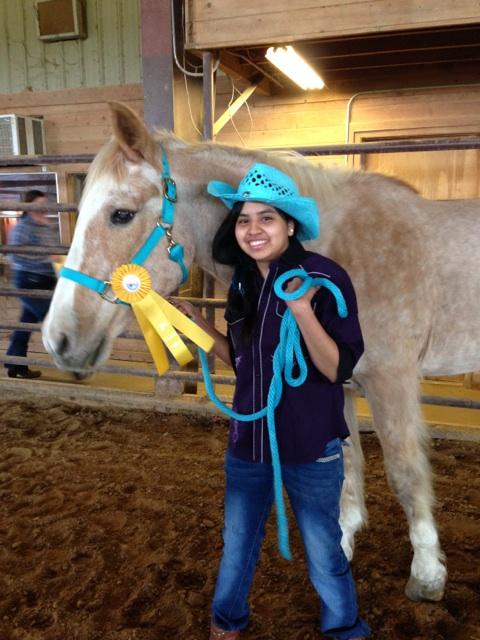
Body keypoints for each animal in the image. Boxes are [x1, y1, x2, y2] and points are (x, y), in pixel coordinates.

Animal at [42, 102, 480, 604]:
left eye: (121, 214)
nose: (57, 340)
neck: (338, 250)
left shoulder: (393, 381)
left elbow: (406, 473)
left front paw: (427, 574)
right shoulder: (341, 385)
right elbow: (347, 467)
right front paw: (339, 547)